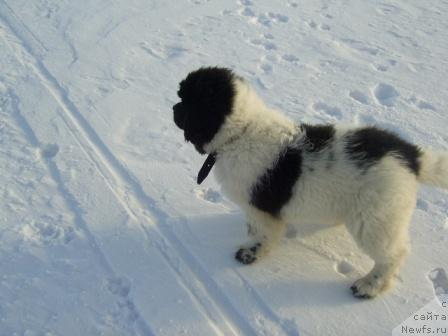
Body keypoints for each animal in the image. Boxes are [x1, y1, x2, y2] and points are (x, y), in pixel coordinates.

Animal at [172, 67, 448, 298]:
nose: (173, 108)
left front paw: (252, 252)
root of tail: (410, 155)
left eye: (187, 101)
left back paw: (369, 286)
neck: (242, 132)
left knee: (393, 254)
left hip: (375, 218)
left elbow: (262, 232)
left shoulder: (259, 206)